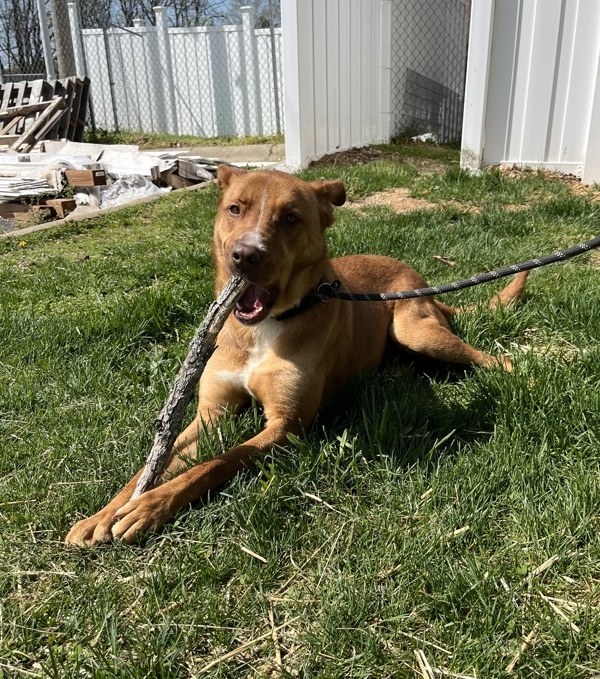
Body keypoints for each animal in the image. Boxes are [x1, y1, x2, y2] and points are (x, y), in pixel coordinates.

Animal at [63, 166, 528, 548]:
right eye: (235, 209)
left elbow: (216, 463)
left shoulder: (287, 424)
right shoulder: (210, 415)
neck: (263, 329)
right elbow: (150, 469)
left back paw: (516, 373)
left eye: (290, 218)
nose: (244, 255)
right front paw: (105, 513)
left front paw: (148, 508)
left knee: (487, 358)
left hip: (416, 330)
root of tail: (425, 283)